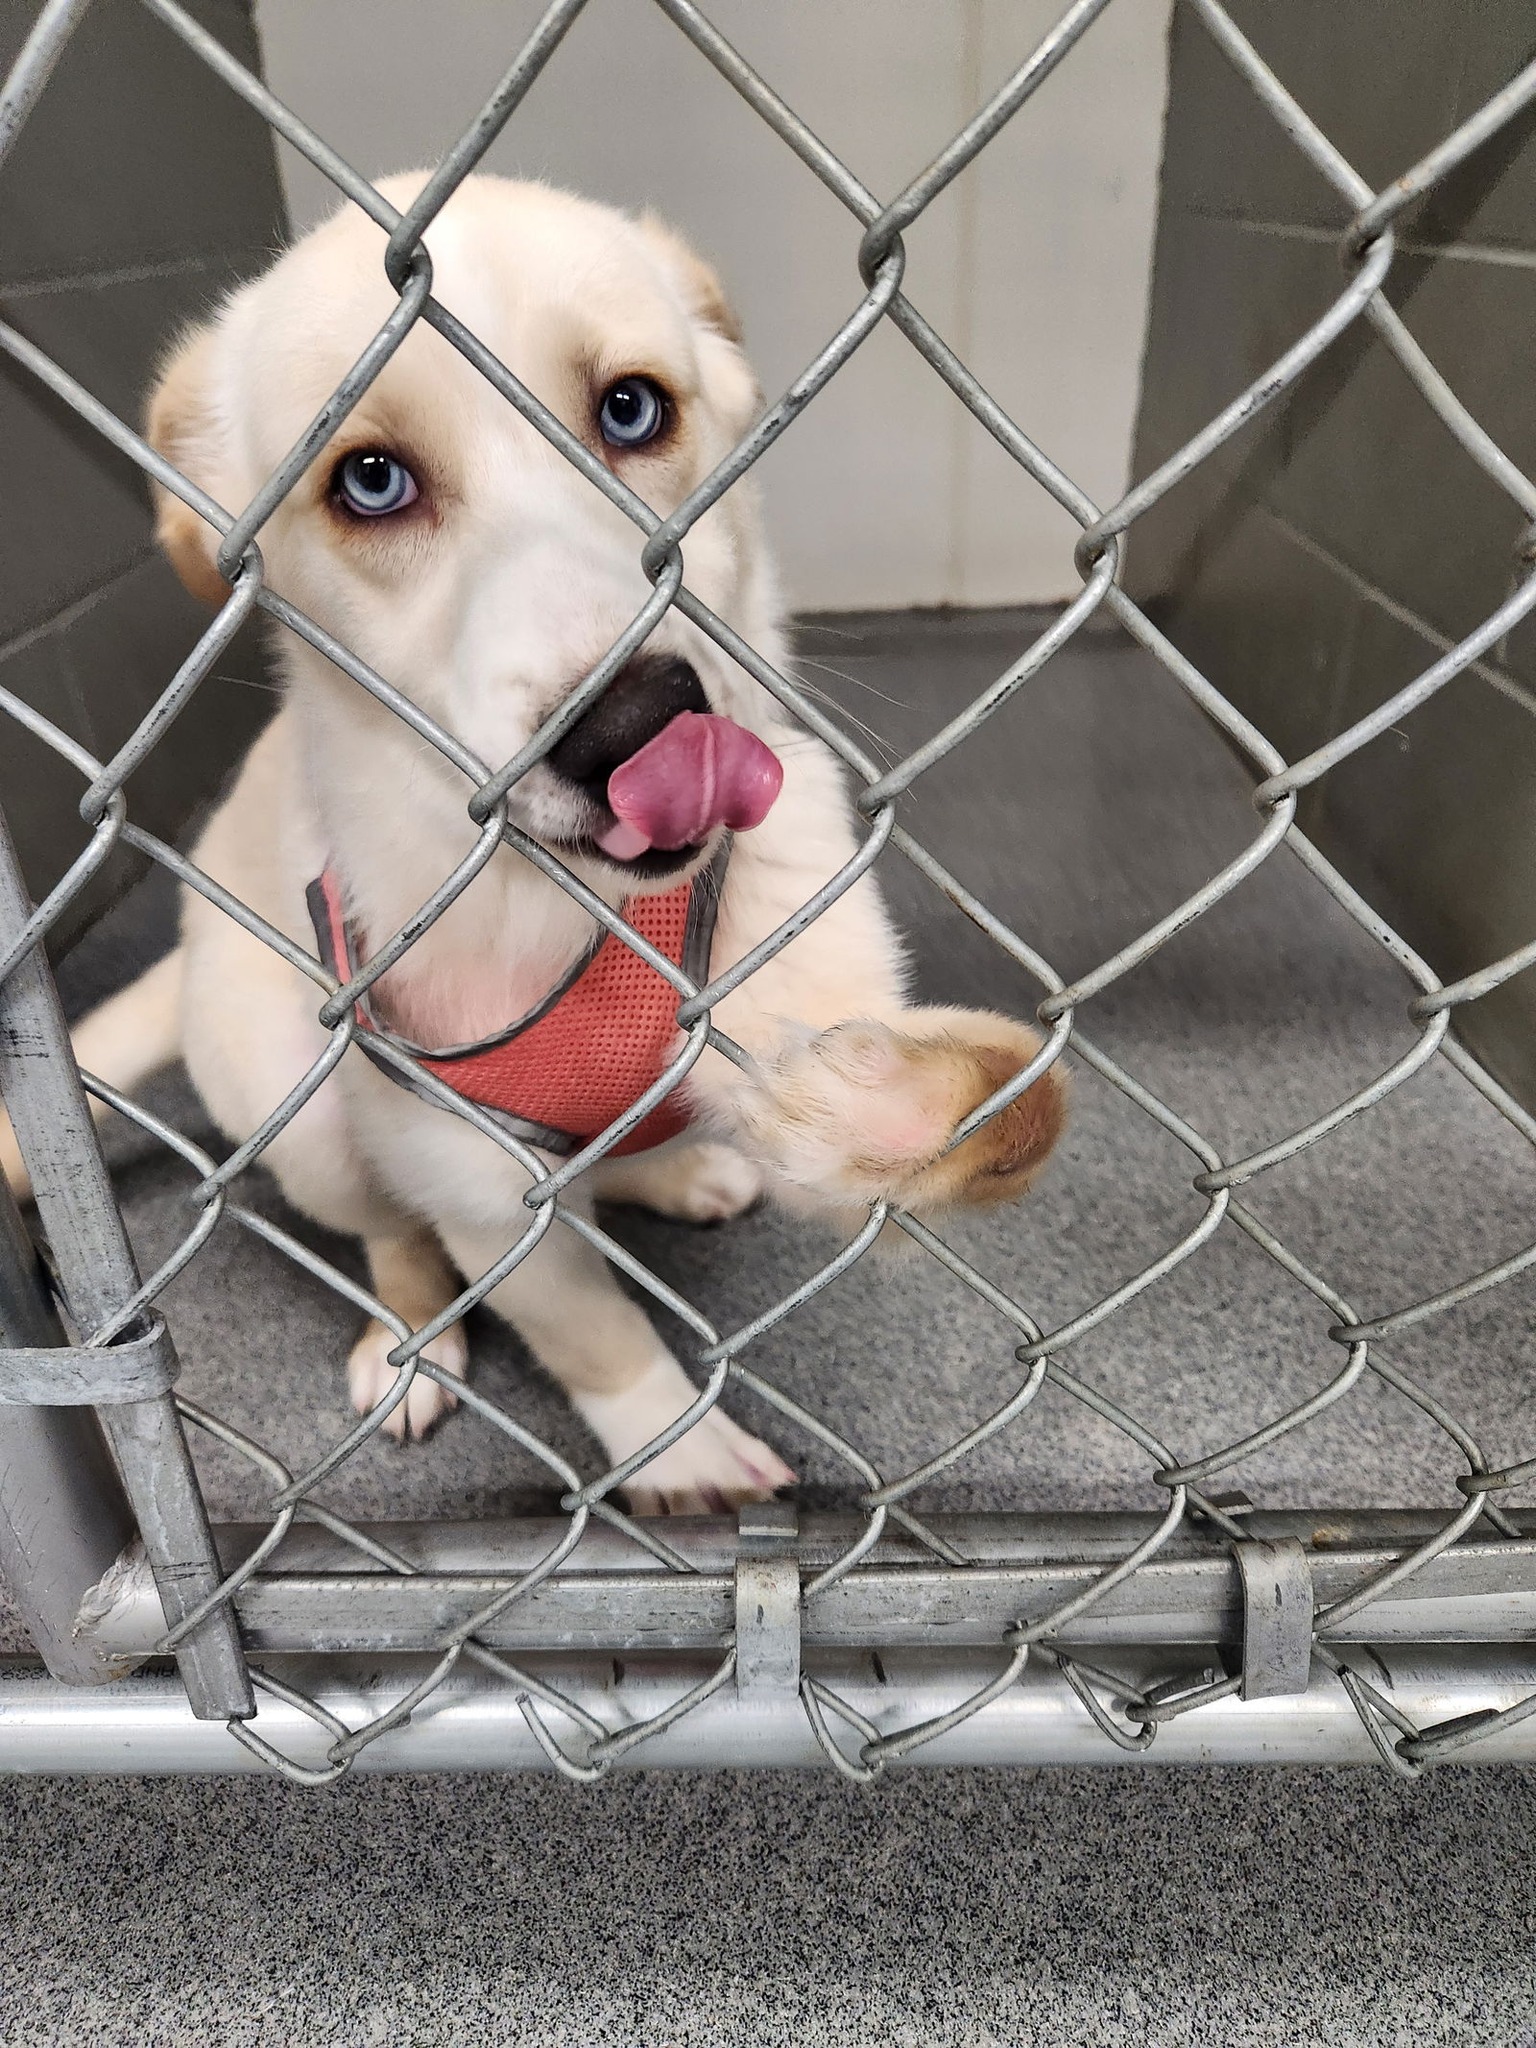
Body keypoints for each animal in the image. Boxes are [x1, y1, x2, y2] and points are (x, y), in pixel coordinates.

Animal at [0, 176, 1073, 1515]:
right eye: (369, 481)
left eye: (632, 408)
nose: (637, 725)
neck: (572, 909)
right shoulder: (475, 1183)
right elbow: (591, 1331)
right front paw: (681, 1455)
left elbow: (990, 1107)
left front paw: (902, 1100)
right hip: (300, 1116)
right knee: (393, 1237)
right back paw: (407, 1346)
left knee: (612, 1164)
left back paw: (679, 1170)